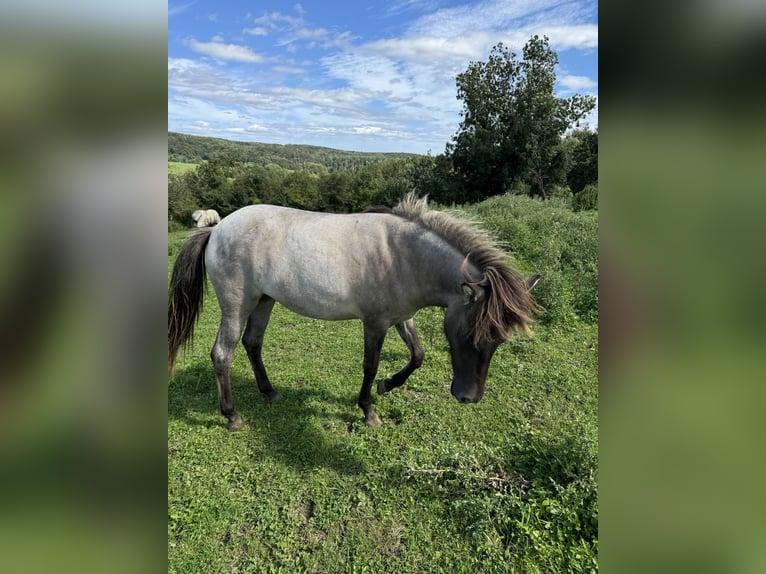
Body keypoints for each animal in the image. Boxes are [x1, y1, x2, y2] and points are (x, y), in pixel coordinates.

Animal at [170, 195, 540, 432]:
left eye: (499, 341)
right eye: (469, 335)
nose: (468, 397)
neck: (404, 255)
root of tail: (216, 229)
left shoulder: (400, 317)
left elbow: (418, 354)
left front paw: (387, 386)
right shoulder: (376, 323)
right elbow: (370, 365)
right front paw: (368, 411)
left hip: (264, 300)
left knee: (252, 343)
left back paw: (269, 391)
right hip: (237, 304)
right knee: (223, 353)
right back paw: (231, 416)